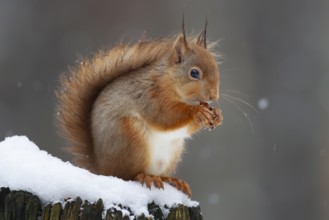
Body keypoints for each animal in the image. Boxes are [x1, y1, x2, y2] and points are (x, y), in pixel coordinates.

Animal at [56, 21, 222, 198]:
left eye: (216, 68)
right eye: (194, 73)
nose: (213, 96)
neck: (167, 80)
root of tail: (101, 169)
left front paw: (217, 115)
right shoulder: (150, 96)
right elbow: (165, 116)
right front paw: (197, 112)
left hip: (171, 153)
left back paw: (172, 180)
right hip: (130, 138)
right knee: (127, 175)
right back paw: (145, 176)